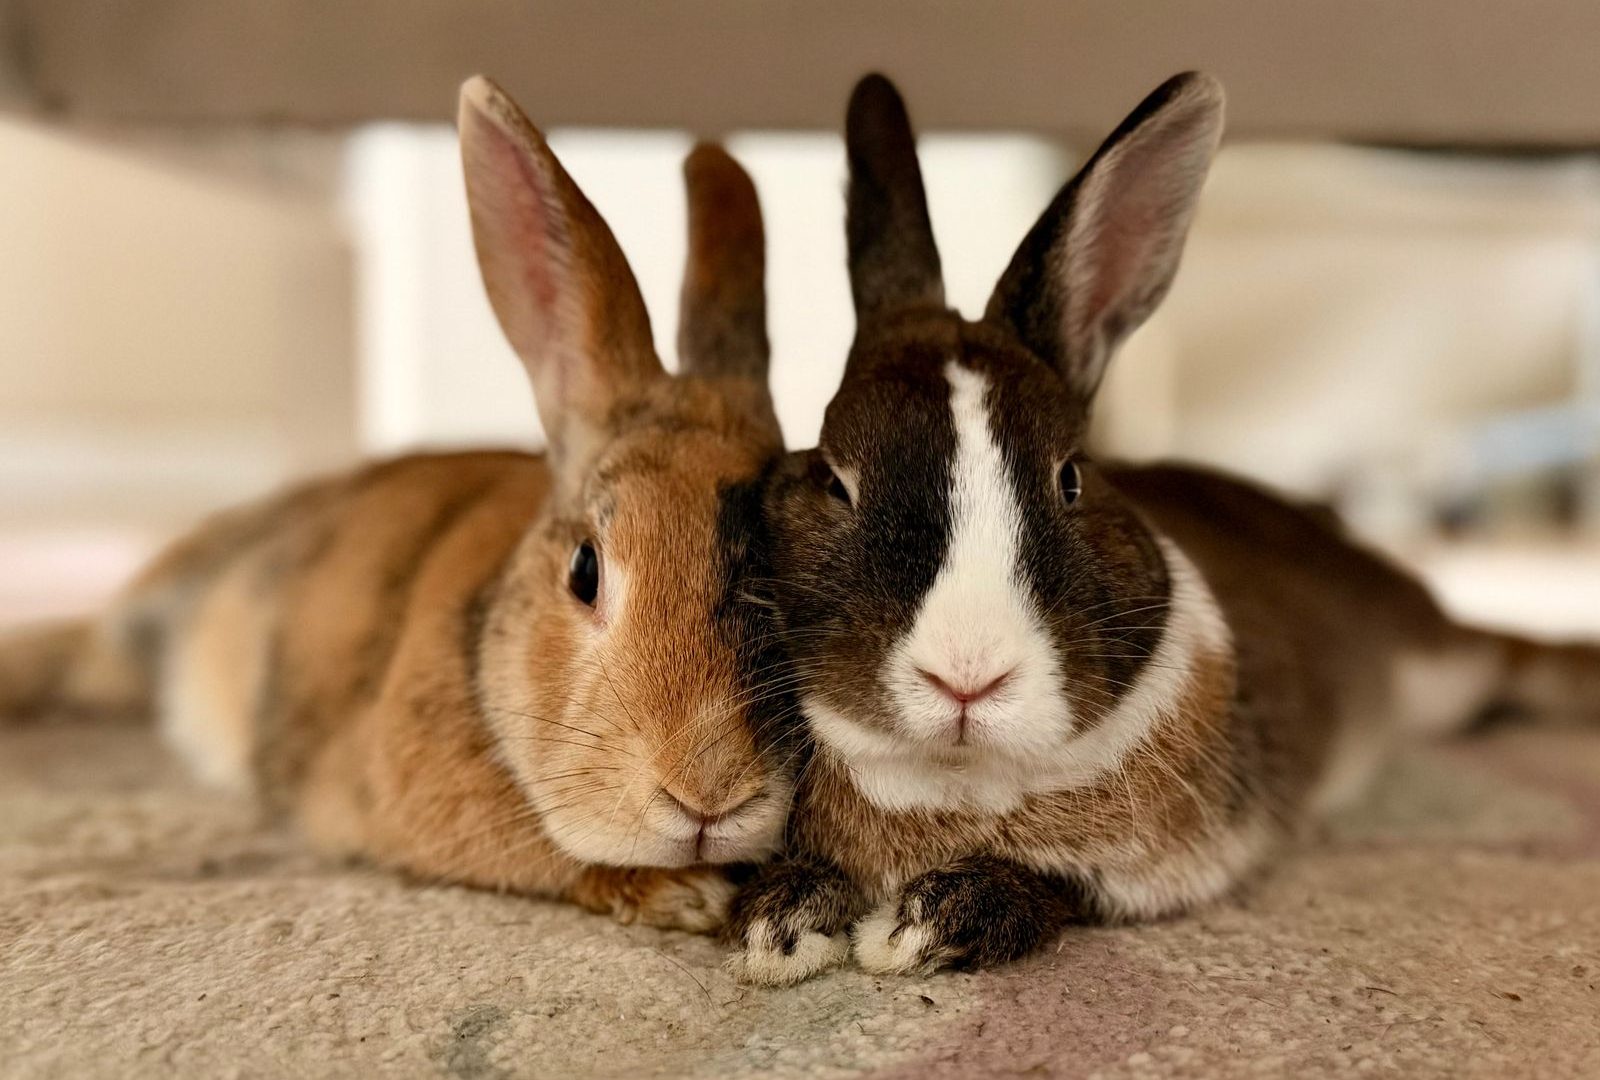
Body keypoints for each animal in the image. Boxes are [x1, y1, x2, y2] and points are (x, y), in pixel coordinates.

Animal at [723, 71, 1600, 984]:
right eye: (835, 478)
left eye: (1072, 478)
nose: (967, 677)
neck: (961, 778)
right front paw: (778, 929)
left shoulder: (1149, 870)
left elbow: (1049, 889)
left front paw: (915, 930)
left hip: (1440, 662)